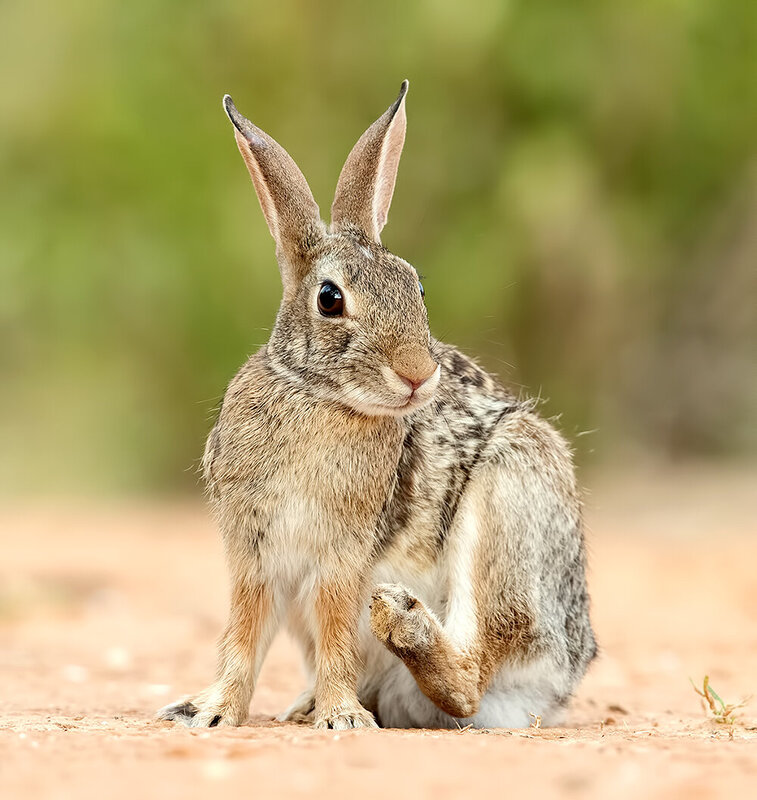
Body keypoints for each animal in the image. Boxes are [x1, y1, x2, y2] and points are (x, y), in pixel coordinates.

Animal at [157, 80, 596, 731]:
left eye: (417, 287)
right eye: (330, 298)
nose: (418, 372)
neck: (316, 394)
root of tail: (559, 681)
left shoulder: (343, 550)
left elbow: (337, 626)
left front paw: (342, 718)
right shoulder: (253, 550)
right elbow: (243, 634)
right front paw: (212, 712)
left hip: (514, 497)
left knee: (468, 678)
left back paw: (403, 629)